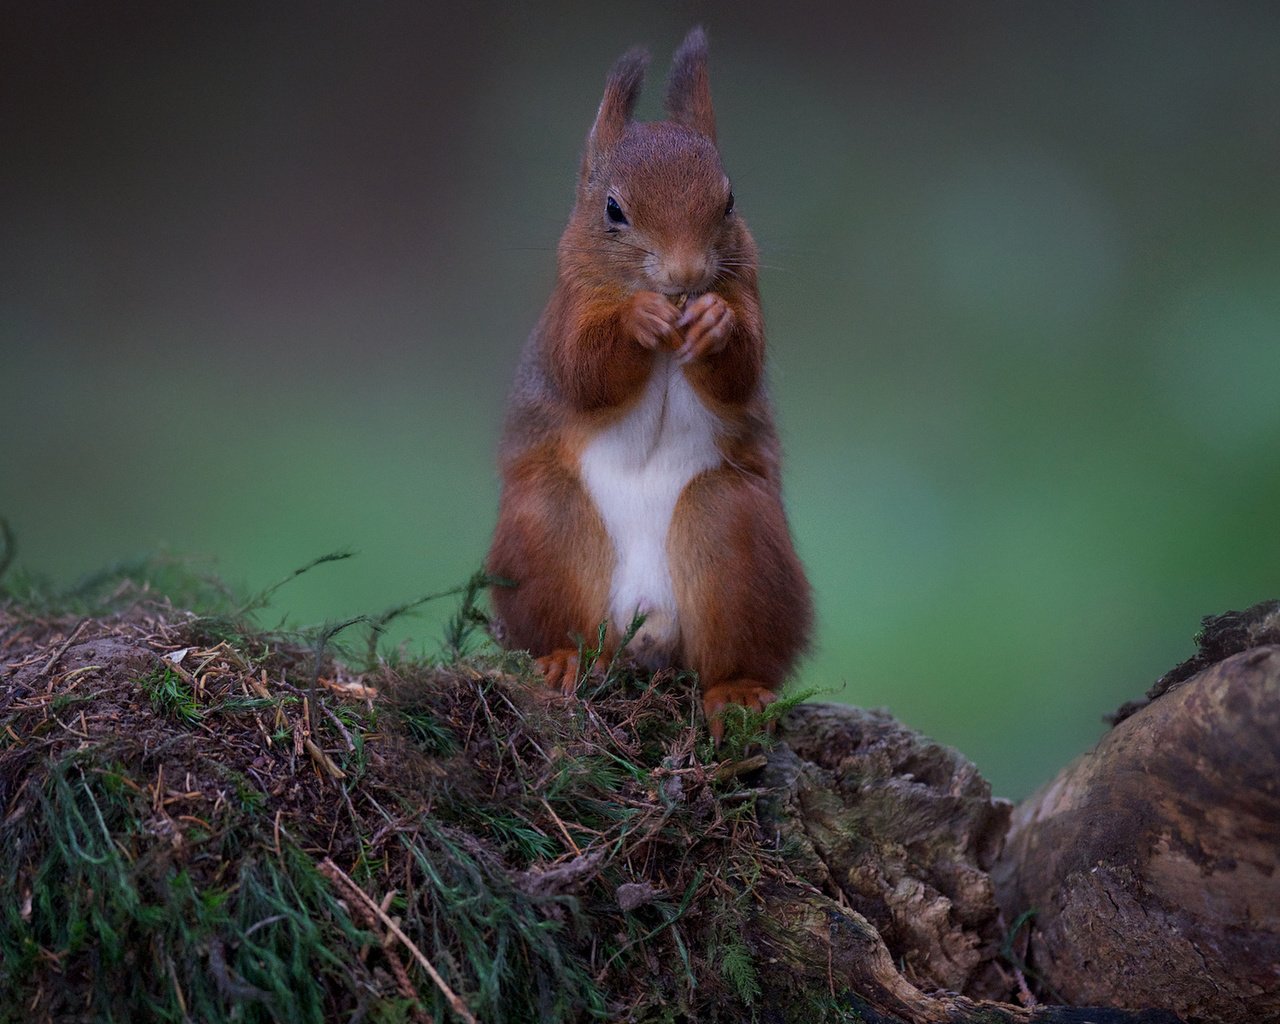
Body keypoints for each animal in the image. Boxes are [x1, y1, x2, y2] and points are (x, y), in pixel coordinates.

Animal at [488, 28, 808, 742]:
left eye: (730, 200)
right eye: (613, 209)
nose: (686, 276)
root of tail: (646, 628)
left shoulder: (751, 298)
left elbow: (741, 373)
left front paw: (713, 323)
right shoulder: (568, 313)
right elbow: (583, 373)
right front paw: (639, 320)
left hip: (734, 536)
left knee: (731, 651)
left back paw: (734, 691)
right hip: (545, 529)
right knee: (562, 623)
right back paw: (560, 660)